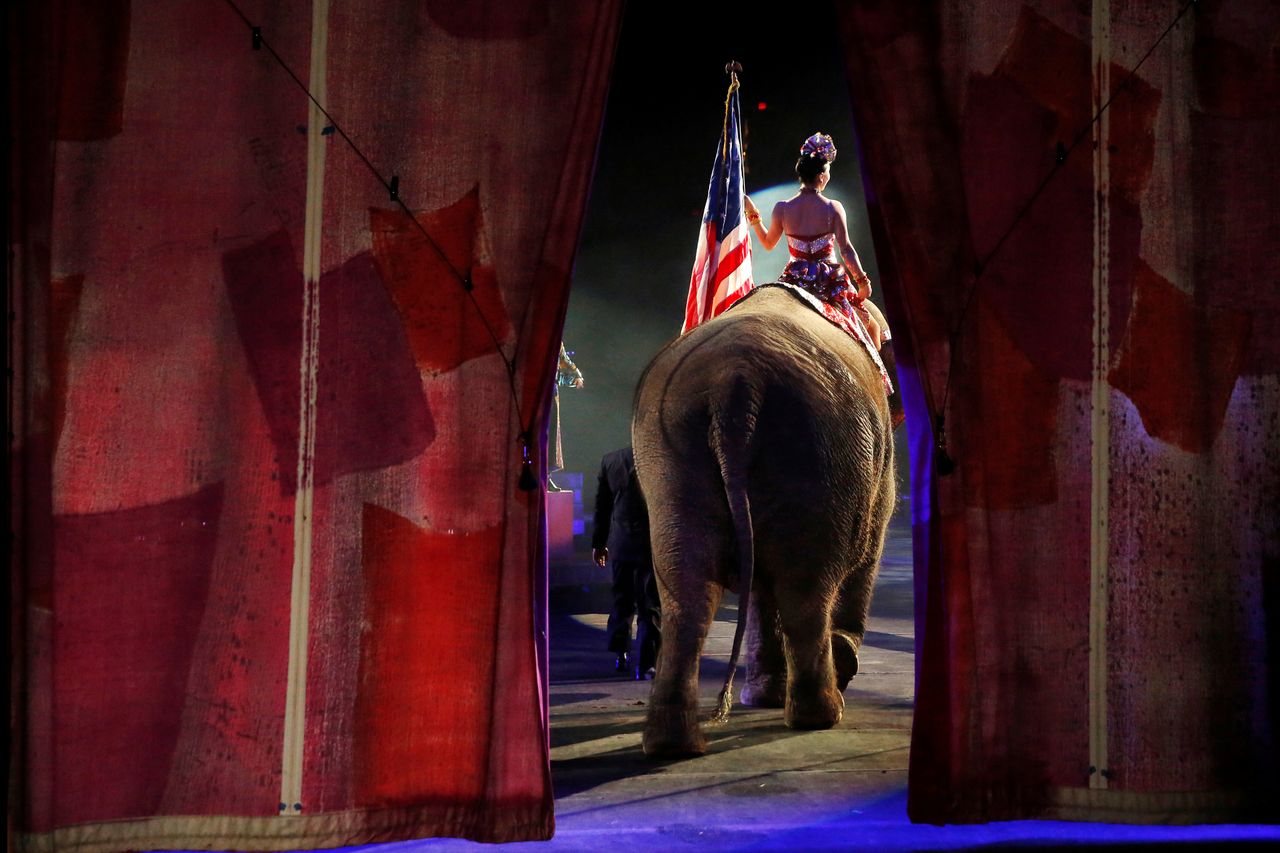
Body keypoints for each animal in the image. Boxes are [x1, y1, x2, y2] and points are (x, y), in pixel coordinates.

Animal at [632, 286, 896, 758]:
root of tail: (735, 387)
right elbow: (867, 551)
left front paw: (764, 698)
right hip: (819, 451)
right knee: (806, 590)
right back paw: (822, 716)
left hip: (669, 459)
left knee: (688, 591)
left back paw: (674, 745)